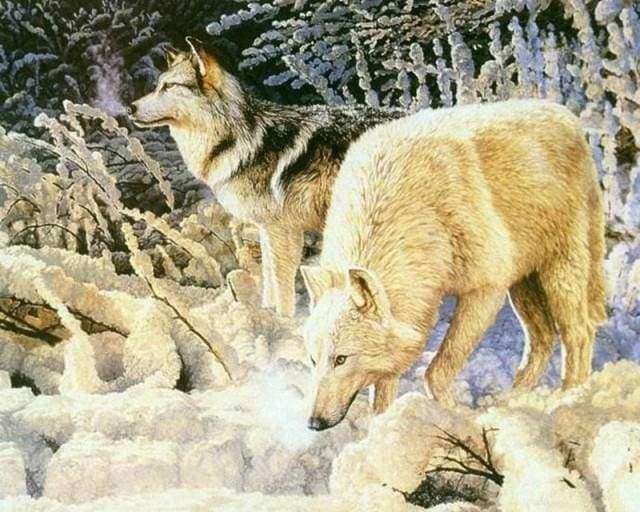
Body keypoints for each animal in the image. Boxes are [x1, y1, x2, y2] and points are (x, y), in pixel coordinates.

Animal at [129, 37, 404, 317]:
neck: (239, 140)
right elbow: (269, 282)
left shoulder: (283, 232)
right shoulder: (266, 230)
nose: (130, 107)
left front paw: (284, 320)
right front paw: (269, 315)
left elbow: (282, 288)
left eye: (169, 86)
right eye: (158, 85)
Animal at [300, 99, 607, 431]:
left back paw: (570, 399)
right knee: (543, 340)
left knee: (579, 333)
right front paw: (381, 427)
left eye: (341, 359)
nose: (314, 422)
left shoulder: (486, 290)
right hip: (522, 284)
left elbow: (436, 370)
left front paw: (453, 417)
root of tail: (564, 115)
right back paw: (513, 399)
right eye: (313, 360)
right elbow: (383, 390)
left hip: (559, 272)